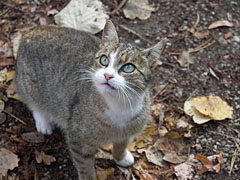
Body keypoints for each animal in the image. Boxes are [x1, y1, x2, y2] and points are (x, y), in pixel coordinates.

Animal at [15, 20, 167, 179]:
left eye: (128, 68)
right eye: (104, 59)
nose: (107, 75)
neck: (119, 104)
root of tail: (31, 31)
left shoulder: (127, 132)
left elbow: (121, 144)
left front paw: (121, 157)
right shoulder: (78, 141)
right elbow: (85, 167)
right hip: (28, 85)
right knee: (33, 103)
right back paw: (43, 121)